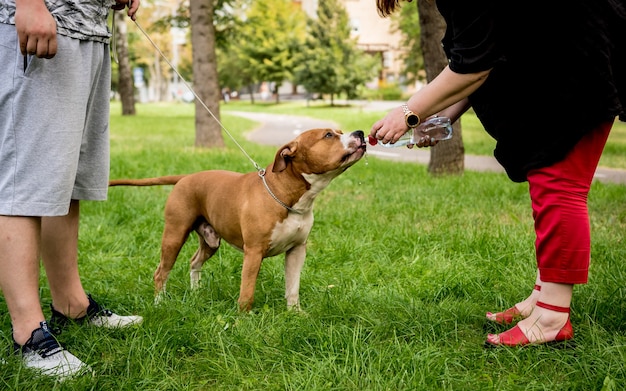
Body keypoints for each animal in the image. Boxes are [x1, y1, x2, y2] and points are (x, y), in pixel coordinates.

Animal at [109, 129, 364, 312]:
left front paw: (295, 313)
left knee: (194, 262)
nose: (360, 132)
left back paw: (196, 292)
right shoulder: (253, 252)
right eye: (329, 135)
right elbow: (247, 291)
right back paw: (160, 303)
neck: (285, 195)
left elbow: (293, 287)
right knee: (161, 271)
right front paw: (244, 320)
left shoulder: (297, 250)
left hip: (210, 241)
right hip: (174, 235)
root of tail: (186, 177)